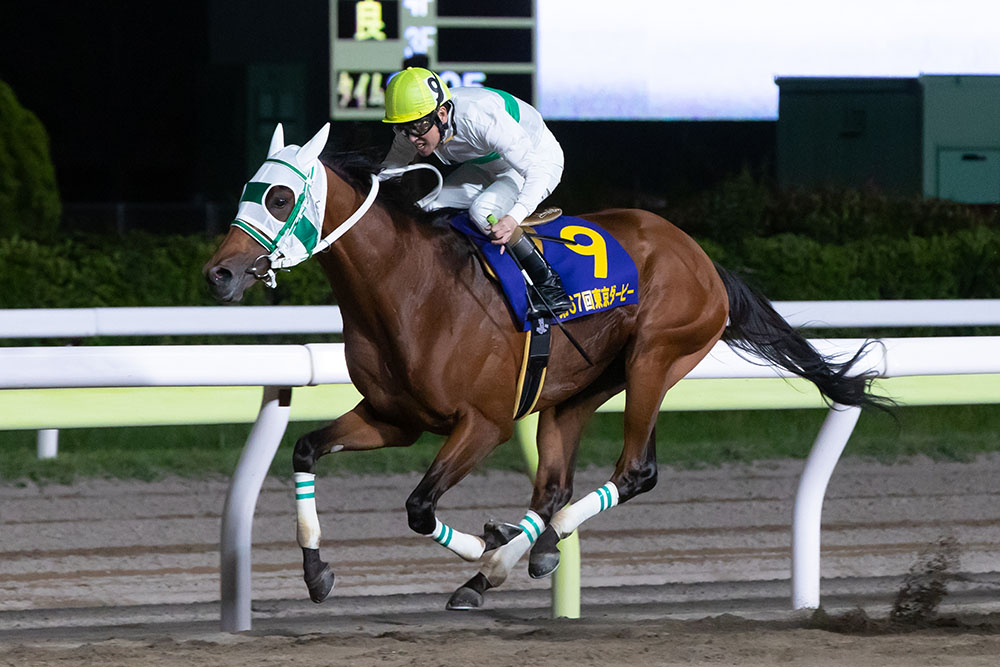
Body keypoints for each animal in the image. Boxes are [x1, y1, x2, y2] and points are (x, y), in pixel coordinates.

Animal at [203, 124, 885, 610]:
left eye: (280, 197)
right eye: (245, 191)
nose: (220, 273)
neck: (411, 290)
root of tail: (700, 256)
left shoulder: (484, 424)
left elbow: (420, 508)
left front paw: (486, 549)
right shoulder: (393, 417)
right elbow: (304, 450)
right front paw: (316, 570)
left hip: (654, 360)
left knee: (635, 472)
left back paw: (501, 562)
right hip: (577, 388)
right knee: (554, 486)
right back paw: (526, 549)